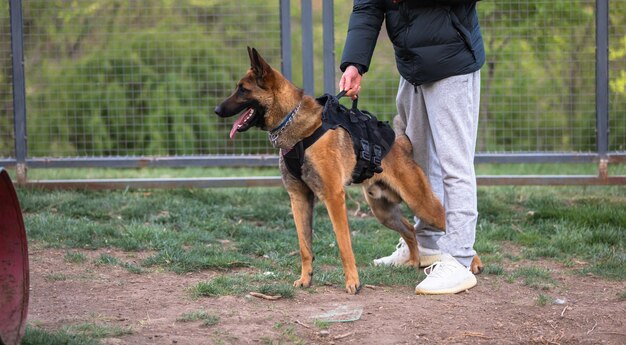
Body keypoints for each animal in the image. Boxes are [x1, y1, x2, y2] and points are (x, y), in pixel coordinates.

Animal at [214, 47, 482, 292]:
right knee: (409, 229)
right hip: (383, 211)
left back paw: (470, 264)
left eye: (242, 89)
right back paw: (413, 261)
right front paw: (305, 279)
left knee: (446, 221)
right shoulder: (298, 198)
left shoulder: (333, 197)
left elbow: (344, 245)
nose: (216, 110)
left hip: (421, 203)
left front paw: (353, 282)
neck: (295, 123)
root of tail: (402, 143)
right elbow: (304, 246)